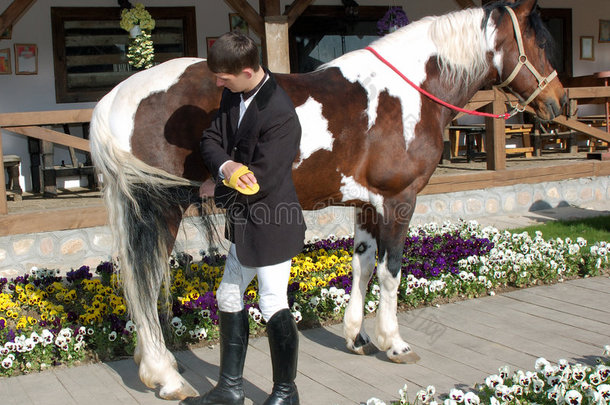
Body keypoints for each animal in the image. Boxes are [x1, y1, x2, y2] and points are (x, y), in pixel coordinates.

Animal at [90, 0, 564, 398]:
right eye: (540, 43)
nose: (559, 102)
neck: (407, 93)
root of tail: (115, 97)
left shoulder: (367, 205)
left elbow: (363, 265)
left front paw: (358, 337)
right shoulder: (399, 200)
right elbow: (391, 271)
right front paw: (393, 342)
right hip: (159, 211)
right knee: (144, 284)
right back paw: (165, 376)